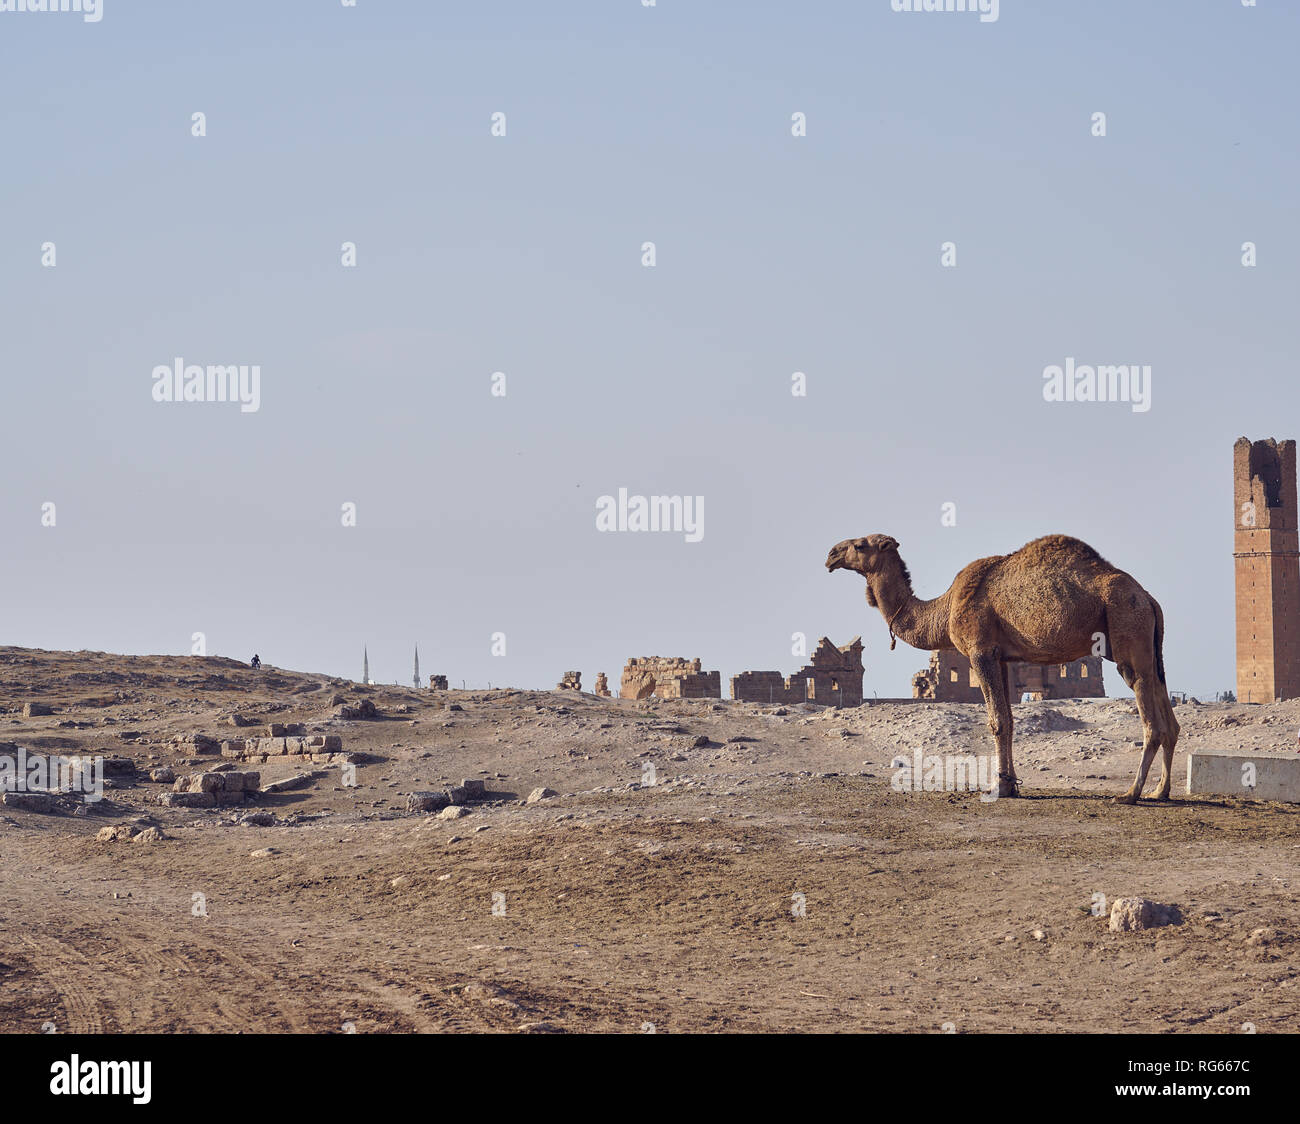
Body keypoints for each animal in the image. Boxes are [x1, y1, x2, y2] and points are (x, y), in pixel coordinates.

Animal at [832, 532, 1180, 800]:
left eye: (860, 545)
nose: (831, 554)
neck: (945, 608)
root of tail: (1148, 598)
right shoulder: (999, 657)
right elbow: (1009, 720)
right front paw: (1011, 785)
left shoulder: (980, 651)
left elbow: (997, 721)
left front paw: (998, 787)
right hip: (1152, 646)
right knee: (1167, 709)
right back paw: (1159, 791)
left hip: (1126, 627)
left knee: (1150, 717)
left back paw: (1131, 793)